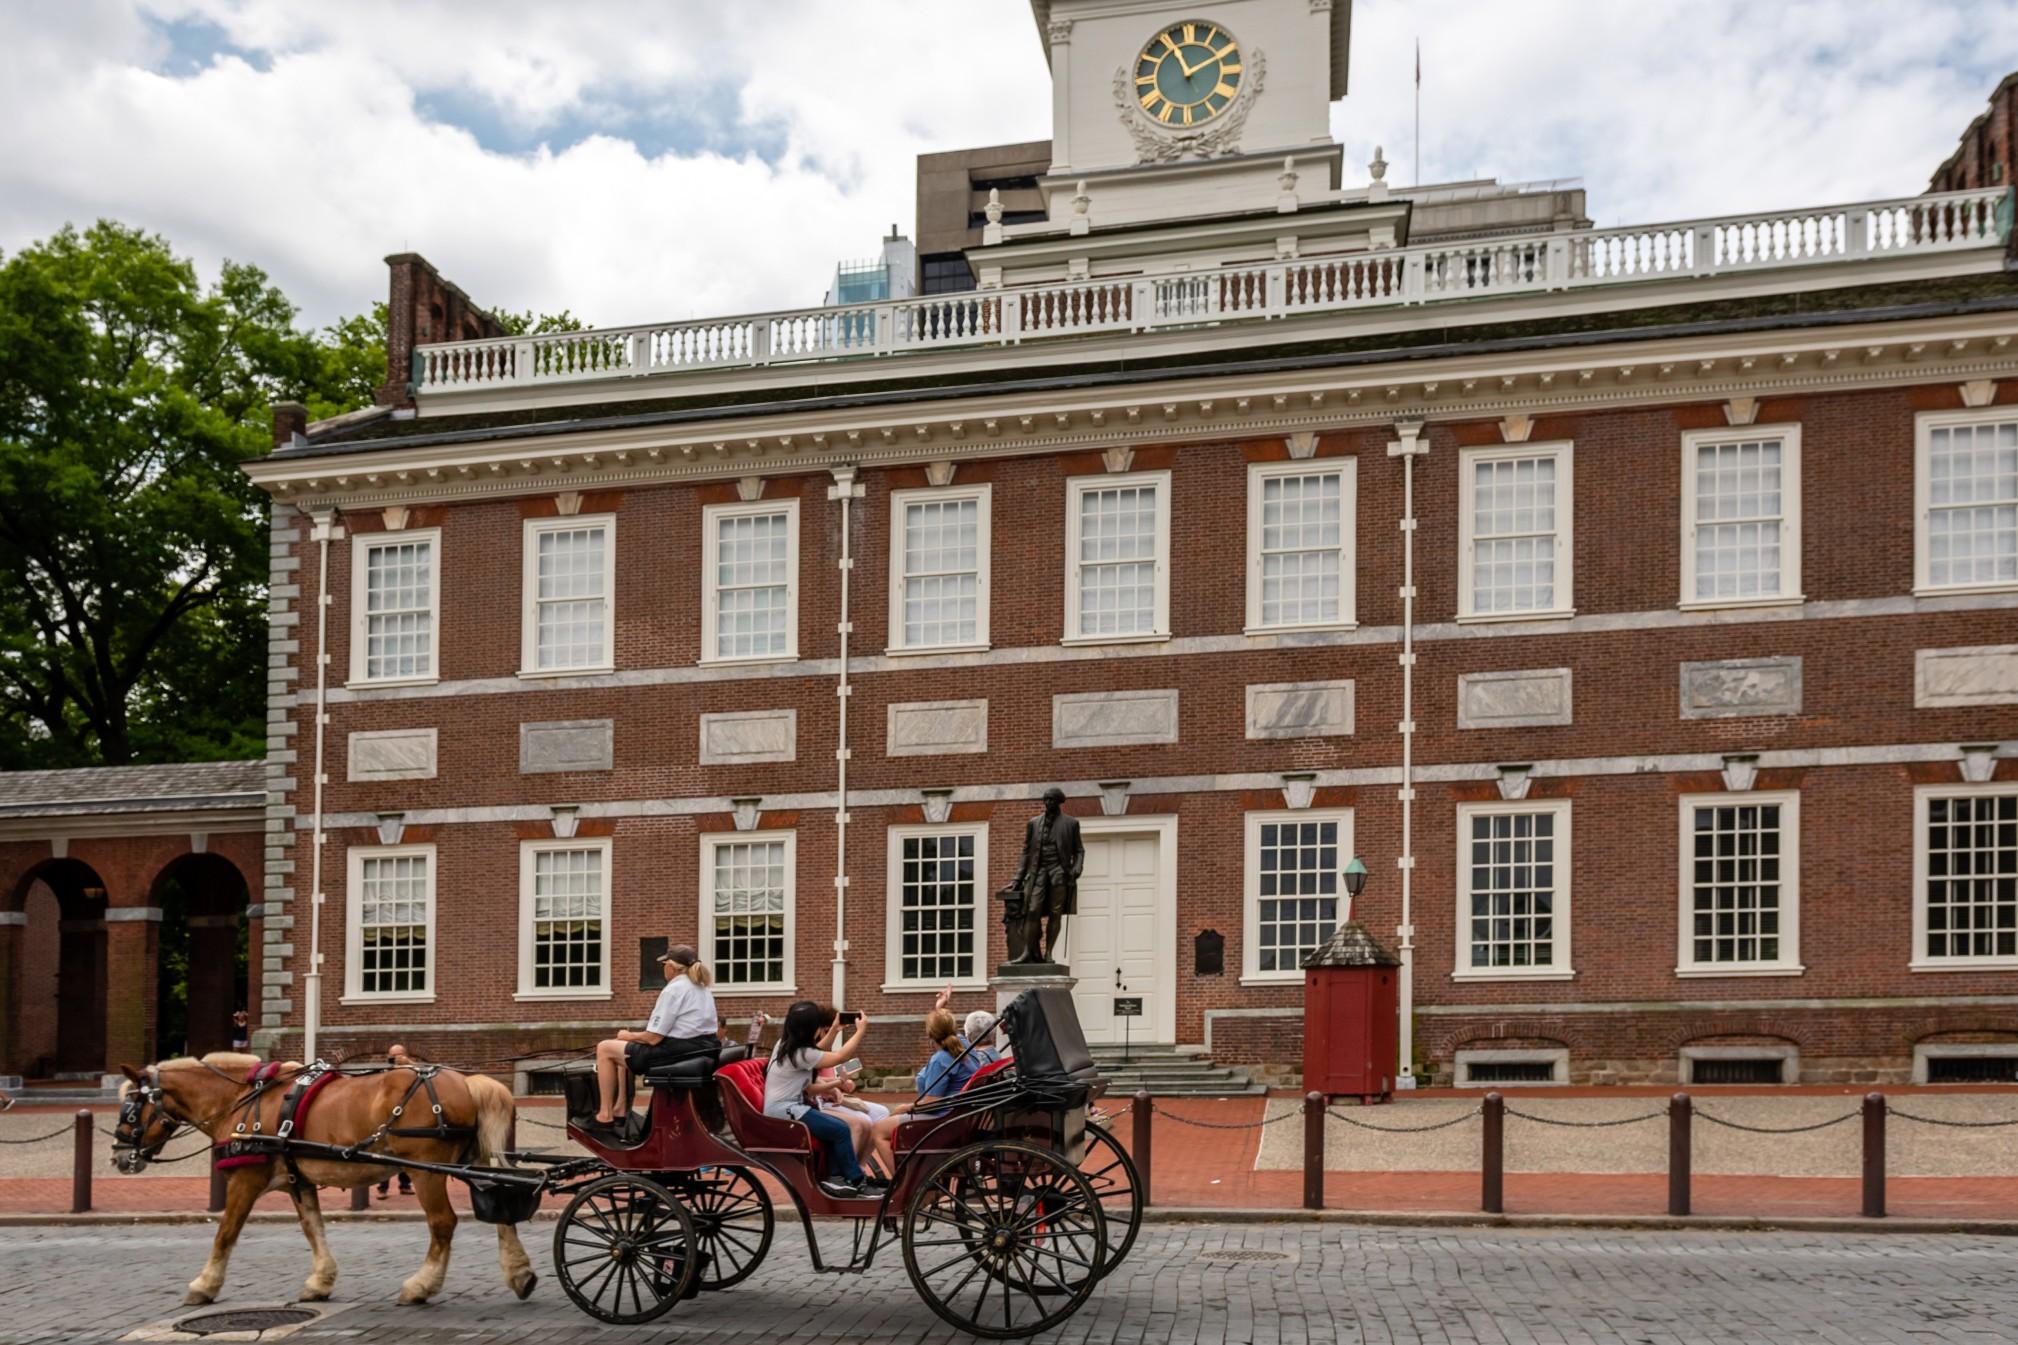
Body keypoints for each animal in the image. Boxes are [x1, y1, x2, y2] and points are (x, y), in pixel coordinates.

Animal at [118, 1056, 536, 1306]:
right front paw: (320, 1281)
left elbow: (226, 1233)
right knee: (502, 1209)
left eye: (130, 1110)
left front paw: (204, 1285)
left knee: (443, 1223)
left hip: (424, 1171)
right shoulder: (297, 1179)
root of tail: (468, 1083)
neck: (243, 1100)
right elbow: (313, 1228)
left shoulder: (245, 1181)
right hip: (474, 1162)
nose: (119, 1157)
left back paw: (420, 1286)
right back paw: (520, 1275)